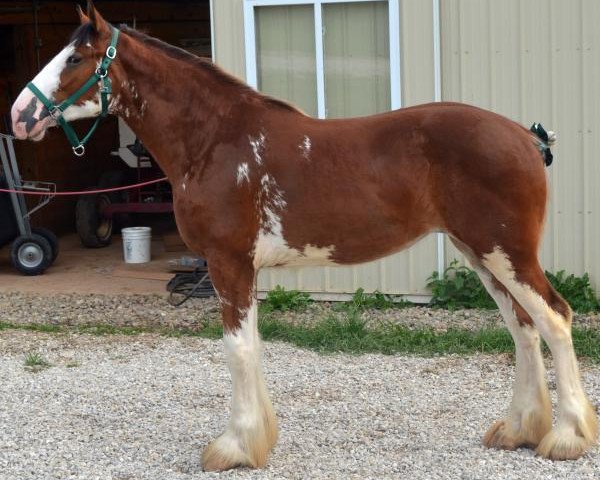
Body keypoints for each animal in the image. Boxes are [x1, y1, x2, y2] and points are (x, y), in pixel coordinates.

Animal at [9, 1, 596, 470]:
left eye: (76, 59)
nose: (19, 115)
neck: (215, 140)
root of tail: (524, 136)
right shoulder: (241, 269)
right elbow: (251, 347)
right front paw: (254, 440)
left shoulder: (227, 263)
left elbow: (237, 350)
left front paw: (235, 447)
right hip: (481, 253)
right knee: (522, 328)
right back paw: (520, 430)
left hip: (506, 252)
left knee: (554, 318)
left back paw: (566, 437)